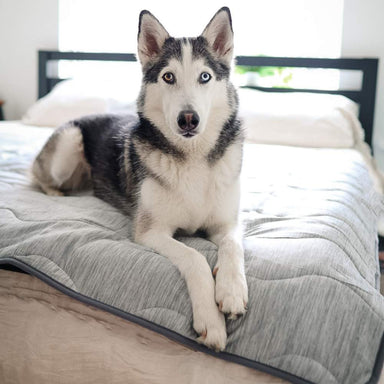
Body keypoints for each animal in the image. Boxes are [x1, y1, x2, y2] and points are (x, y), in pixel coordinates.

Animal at [33, 8, 249, 352]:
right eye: (168, 77)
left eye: (205, 77)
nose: (188, 119)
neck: (191, 158)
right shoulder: (150, 232)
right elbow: (195, 258)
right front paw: (211, 322)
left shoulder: (227, 223)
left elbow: (232, 245)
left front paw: (231, 291)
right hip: (67, 146)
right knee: (39, 174)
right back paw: (56, 194)